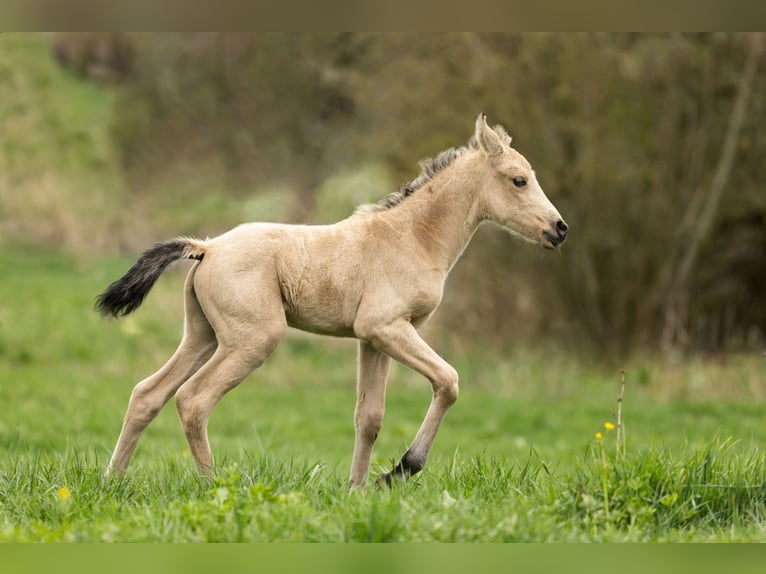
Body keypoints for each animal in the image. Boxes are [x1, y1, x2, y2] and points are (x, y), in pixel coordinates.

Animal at [96, 113, 568, 488]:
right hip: (253, 338)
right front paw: (398, 472)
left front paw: (358, 491)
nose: (560, 229)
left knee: (147, 394)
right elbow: (448, 381)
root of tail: (206, 247)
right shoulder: (386, 327)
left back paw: (112, 482)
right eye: (519, 180)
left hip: (203, 336)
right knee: (193, 399)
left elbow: (369, 418)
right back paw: (212, 487)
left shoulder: (373, 340)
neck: (413, 238)